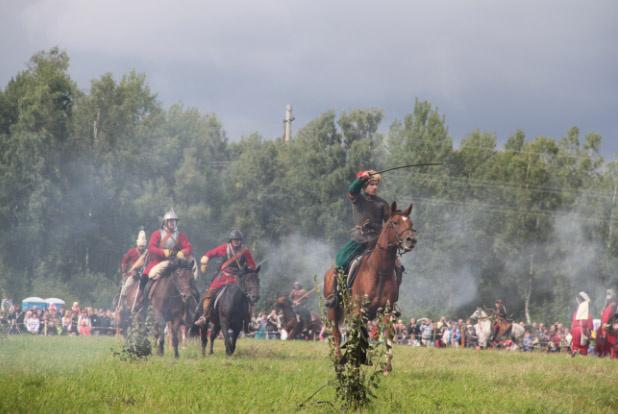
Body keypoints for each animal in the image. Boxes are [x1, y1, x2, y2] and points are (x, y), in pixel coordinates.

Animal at [322, 202, 414, 374]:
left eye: (410, 223)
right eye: (395, 222)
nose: (411, 240)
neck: (379, 270)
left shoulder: (385, 310)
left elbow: (386, 333)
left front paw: (387, 367)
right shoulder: (359, 310)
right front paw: (355, 363)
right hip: (334, 309)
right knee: (337, 333)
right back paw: (340, 362)